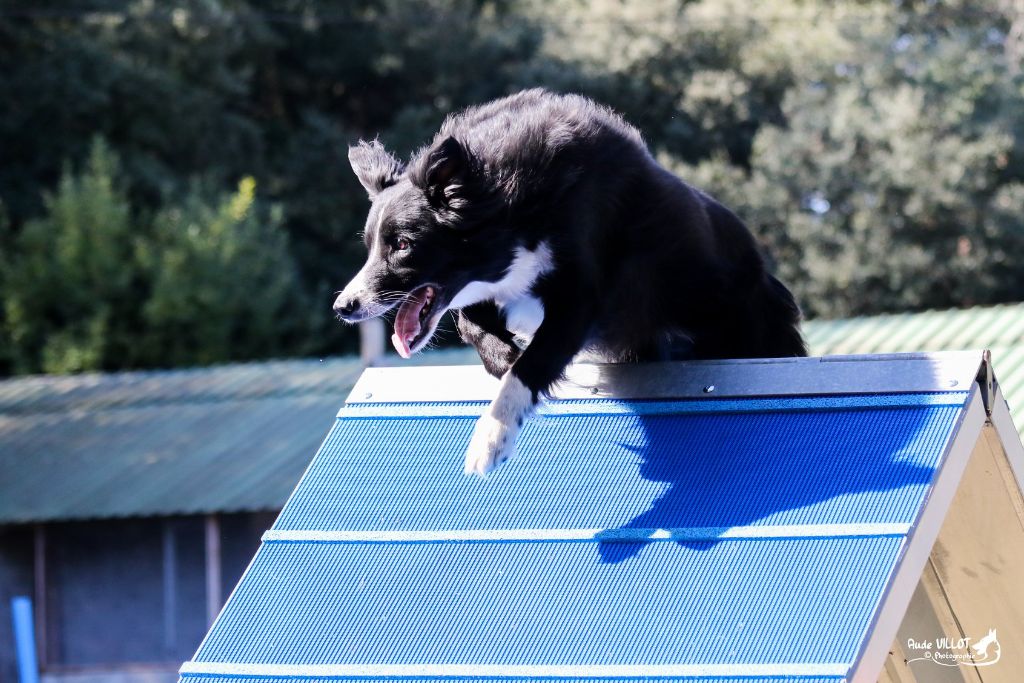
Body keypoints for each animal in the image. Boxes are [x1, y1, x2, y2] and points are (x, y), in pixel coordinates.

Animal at [331, 89, 802, 475]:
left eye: (403, 244)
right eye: (370, 245)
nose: (343, 307)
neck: (510, 199)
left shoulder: (582, 296)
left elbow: (533, 363)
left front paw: (490, 438)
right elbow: (473, 323)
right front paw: (501, 356)